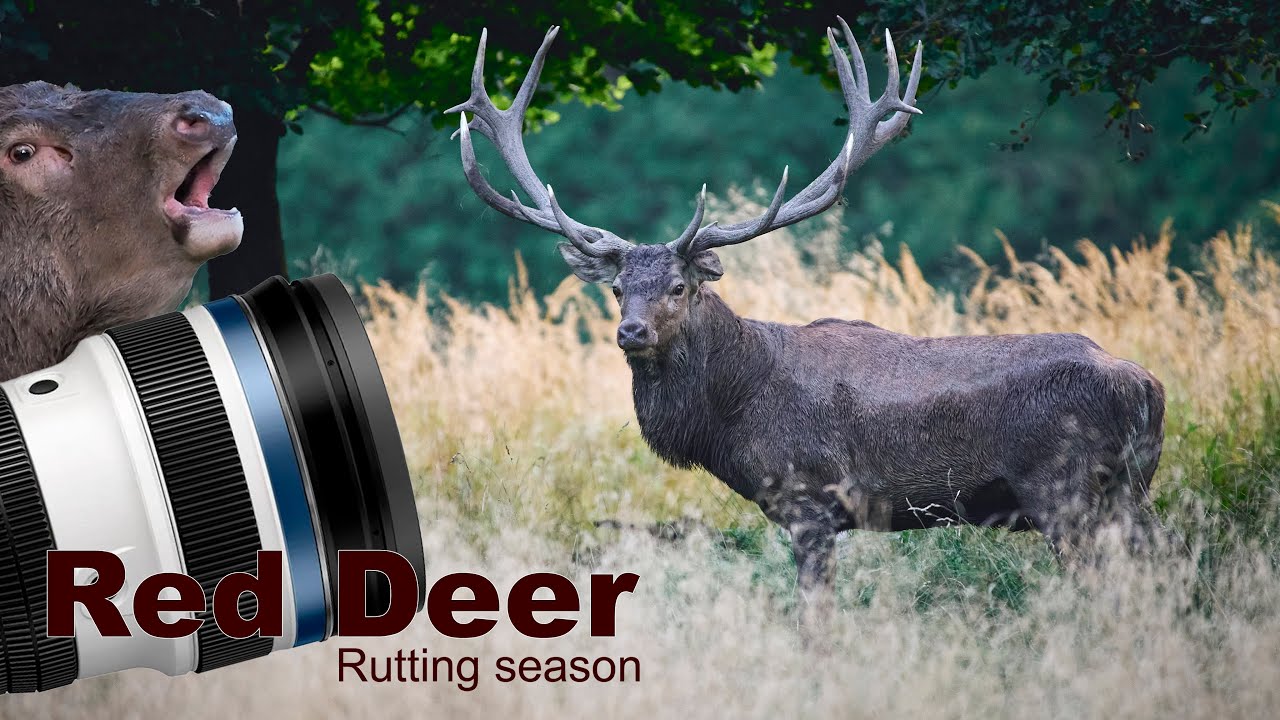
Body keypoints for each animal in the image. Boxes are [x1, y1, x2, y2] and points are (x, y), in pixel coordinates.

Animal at [450, 22, 1167, 620]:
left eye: (679, 286)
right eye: (620, 289)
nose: (632, 332)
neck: (734, 412)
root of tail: (1149, 388)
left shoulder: (811, 501)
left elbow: (813, 618)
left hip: (1065, 490)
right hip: (1128, 492)